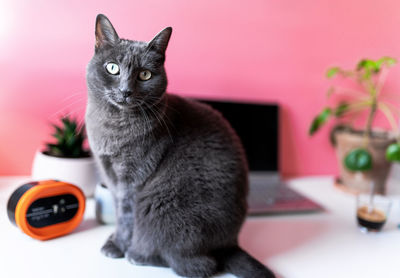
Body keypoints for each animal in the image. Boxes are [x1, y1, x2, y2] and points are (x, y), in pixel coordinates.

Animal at [86, 14, 276, 278]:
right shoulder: (110, 176)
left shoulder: (131, 181)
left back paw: (138, 255)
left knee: (199, 265)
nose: (125, 91)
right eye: (112, 67)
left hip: (167, 212)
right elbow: (117, 210)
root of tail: (230, 244)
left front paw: (118, 246)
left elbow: (125, 217)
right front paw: (114, 240)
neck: (113, 124)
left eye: (145, 75)